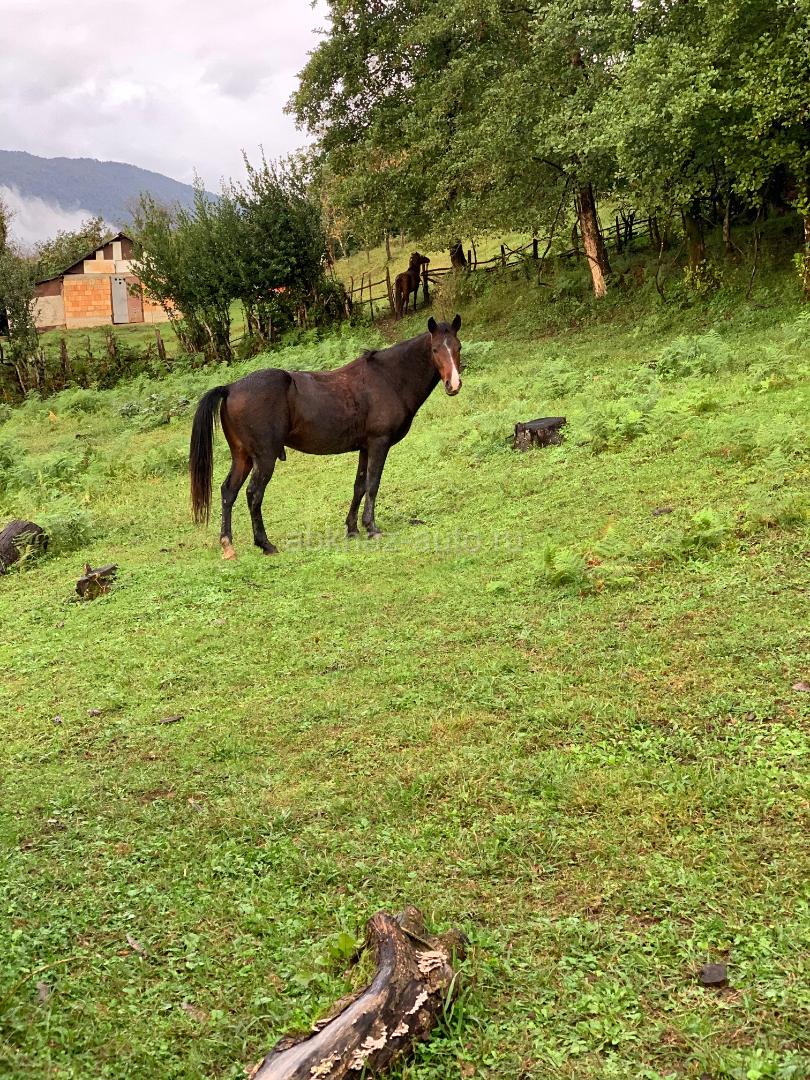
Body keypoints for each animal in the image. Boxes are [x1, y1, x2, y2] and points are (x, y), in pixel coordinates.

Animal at [189, 315, 463, 557]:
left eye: (457, 347)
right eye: (435, 349)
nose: (454, 384)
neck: (388, 378)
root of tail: (230, 388)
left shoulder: (365, 447)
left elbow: (359, 486)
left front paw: (352, 528)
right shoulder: (379, 443)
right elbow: (372, 484)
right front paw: (371, 527)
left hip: (242, 457)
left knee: (229, 492)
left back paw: (228, 545)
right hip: (264, 458)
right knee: (253, 494)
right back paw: (265, 544)